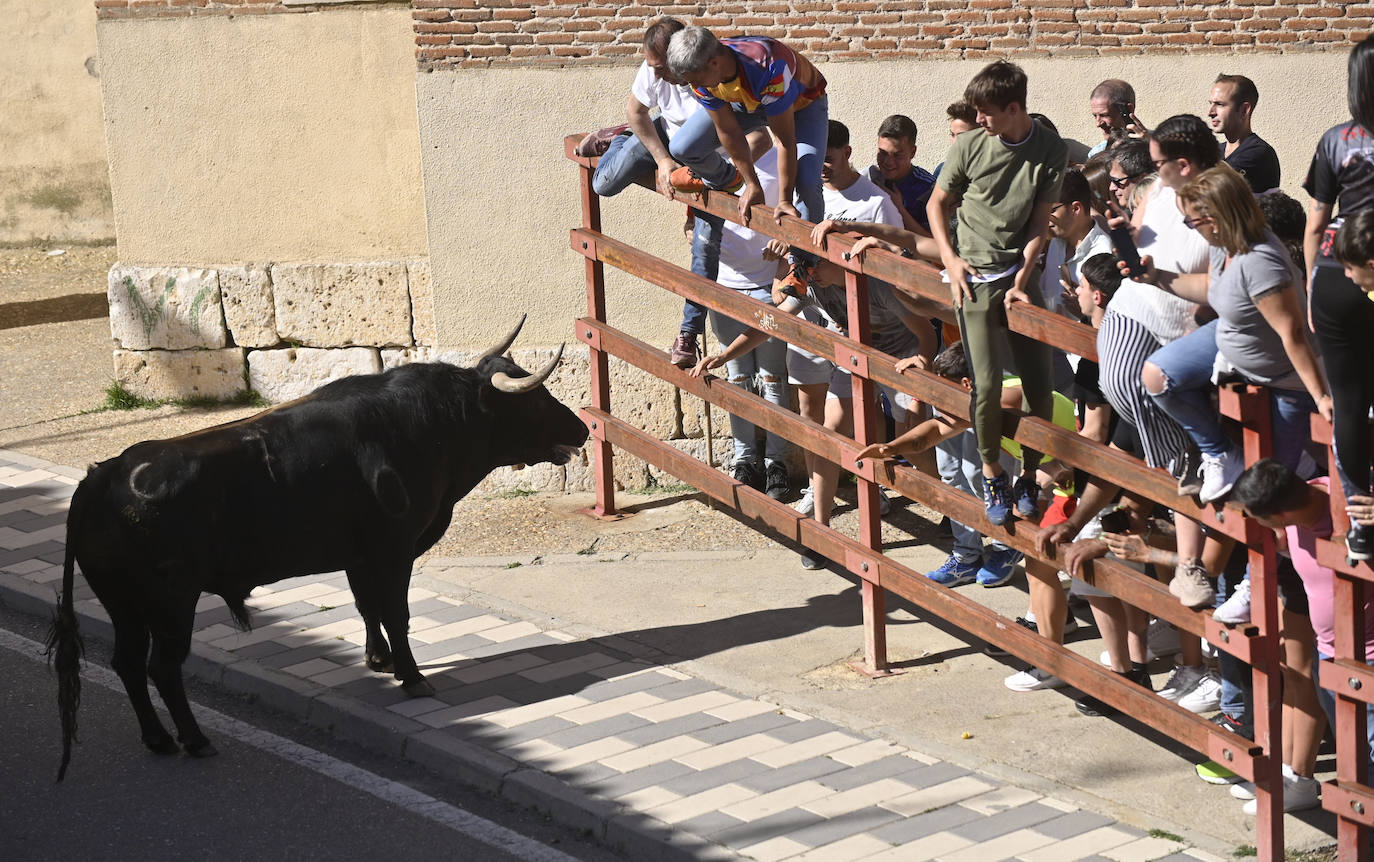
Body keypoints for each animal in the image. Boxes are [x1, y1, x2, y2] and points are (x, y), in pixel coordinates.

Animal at [47, 320, 585, 780]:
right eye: (536, 400)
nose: (581, 429)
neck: (426, 426)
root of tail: (102, 475)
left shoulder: (359, 554)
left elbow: (367, 606)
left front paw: (378, 661)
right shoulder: (394, 549)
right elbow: (396, 612)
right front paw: (412, 676)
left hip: (125, 604)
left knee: (127, 664)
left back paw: (159, 739)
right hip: (171, 602)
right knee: (161, 666)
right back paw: (195, 740)